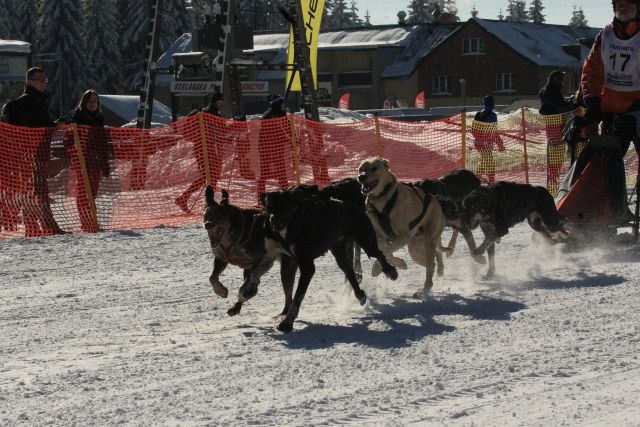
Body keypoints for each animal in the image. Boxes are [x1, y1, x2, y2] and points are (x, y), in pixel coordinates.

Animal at [202, 187, 298, 318]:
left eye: (220, 214)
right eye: (206, 215)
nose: (208, 224)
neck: (231, 241)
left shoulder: (261, 262)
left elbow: (244, 287)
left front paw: (244, 292)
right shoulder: (221, 259)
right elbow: (212, 278)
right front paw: (221, 291)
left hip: (287, 268)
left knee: (288, 292)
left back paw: (284, 312)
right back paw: (236, 307)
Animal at [260, 189, 396, 332]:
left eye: (283, 205)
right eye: (269, 206)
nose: (273, 220)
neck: (295, 223)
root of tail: (352, 205)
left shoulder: (307, 267)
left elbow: (298, 297)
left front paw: (287, 322)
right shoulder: (290, 263)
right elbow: (290, 292)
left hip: (366, 240)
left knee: (379, 255)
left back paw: (390, 271)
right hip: (339, 251)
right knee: (349, 271)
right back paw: (360, 294)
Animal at [358, 158, 452, 298]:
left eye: (374, 168)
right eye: (360, 169)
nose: (361, 177)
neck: (383, 199)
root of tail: (438, 205)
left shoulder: (403, 237)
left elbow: (385, 252)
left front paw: (376, 268)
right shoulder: (380, 236)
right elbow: (386, 252)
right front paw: (399, 264)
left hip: (428, 239)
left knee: (430, 266)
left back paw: (424, 290)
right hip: (415, 249)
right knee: (433, 258)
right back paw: (437, 270)